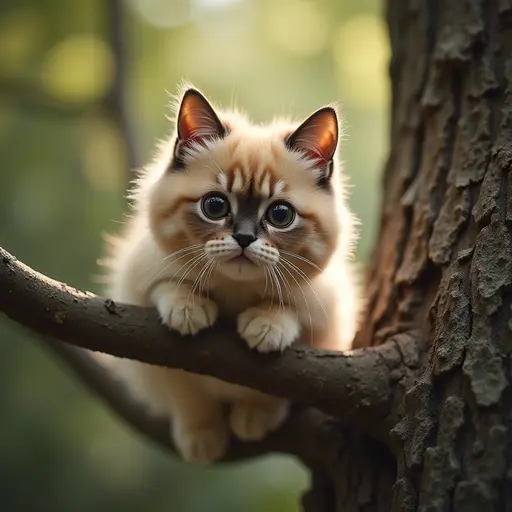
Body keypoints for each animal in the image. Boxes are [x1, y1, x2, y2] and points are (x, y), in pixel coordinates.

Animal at [101, 85, 360, 464]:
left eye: (280, 214)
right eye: (215, 206)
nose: (244, 237)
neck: (235, 294)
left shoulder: (326, 319)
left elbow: (287, 315)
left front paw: (254, 412)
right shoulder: (141, 291)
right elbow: (188, 395)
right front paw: (202, 438)